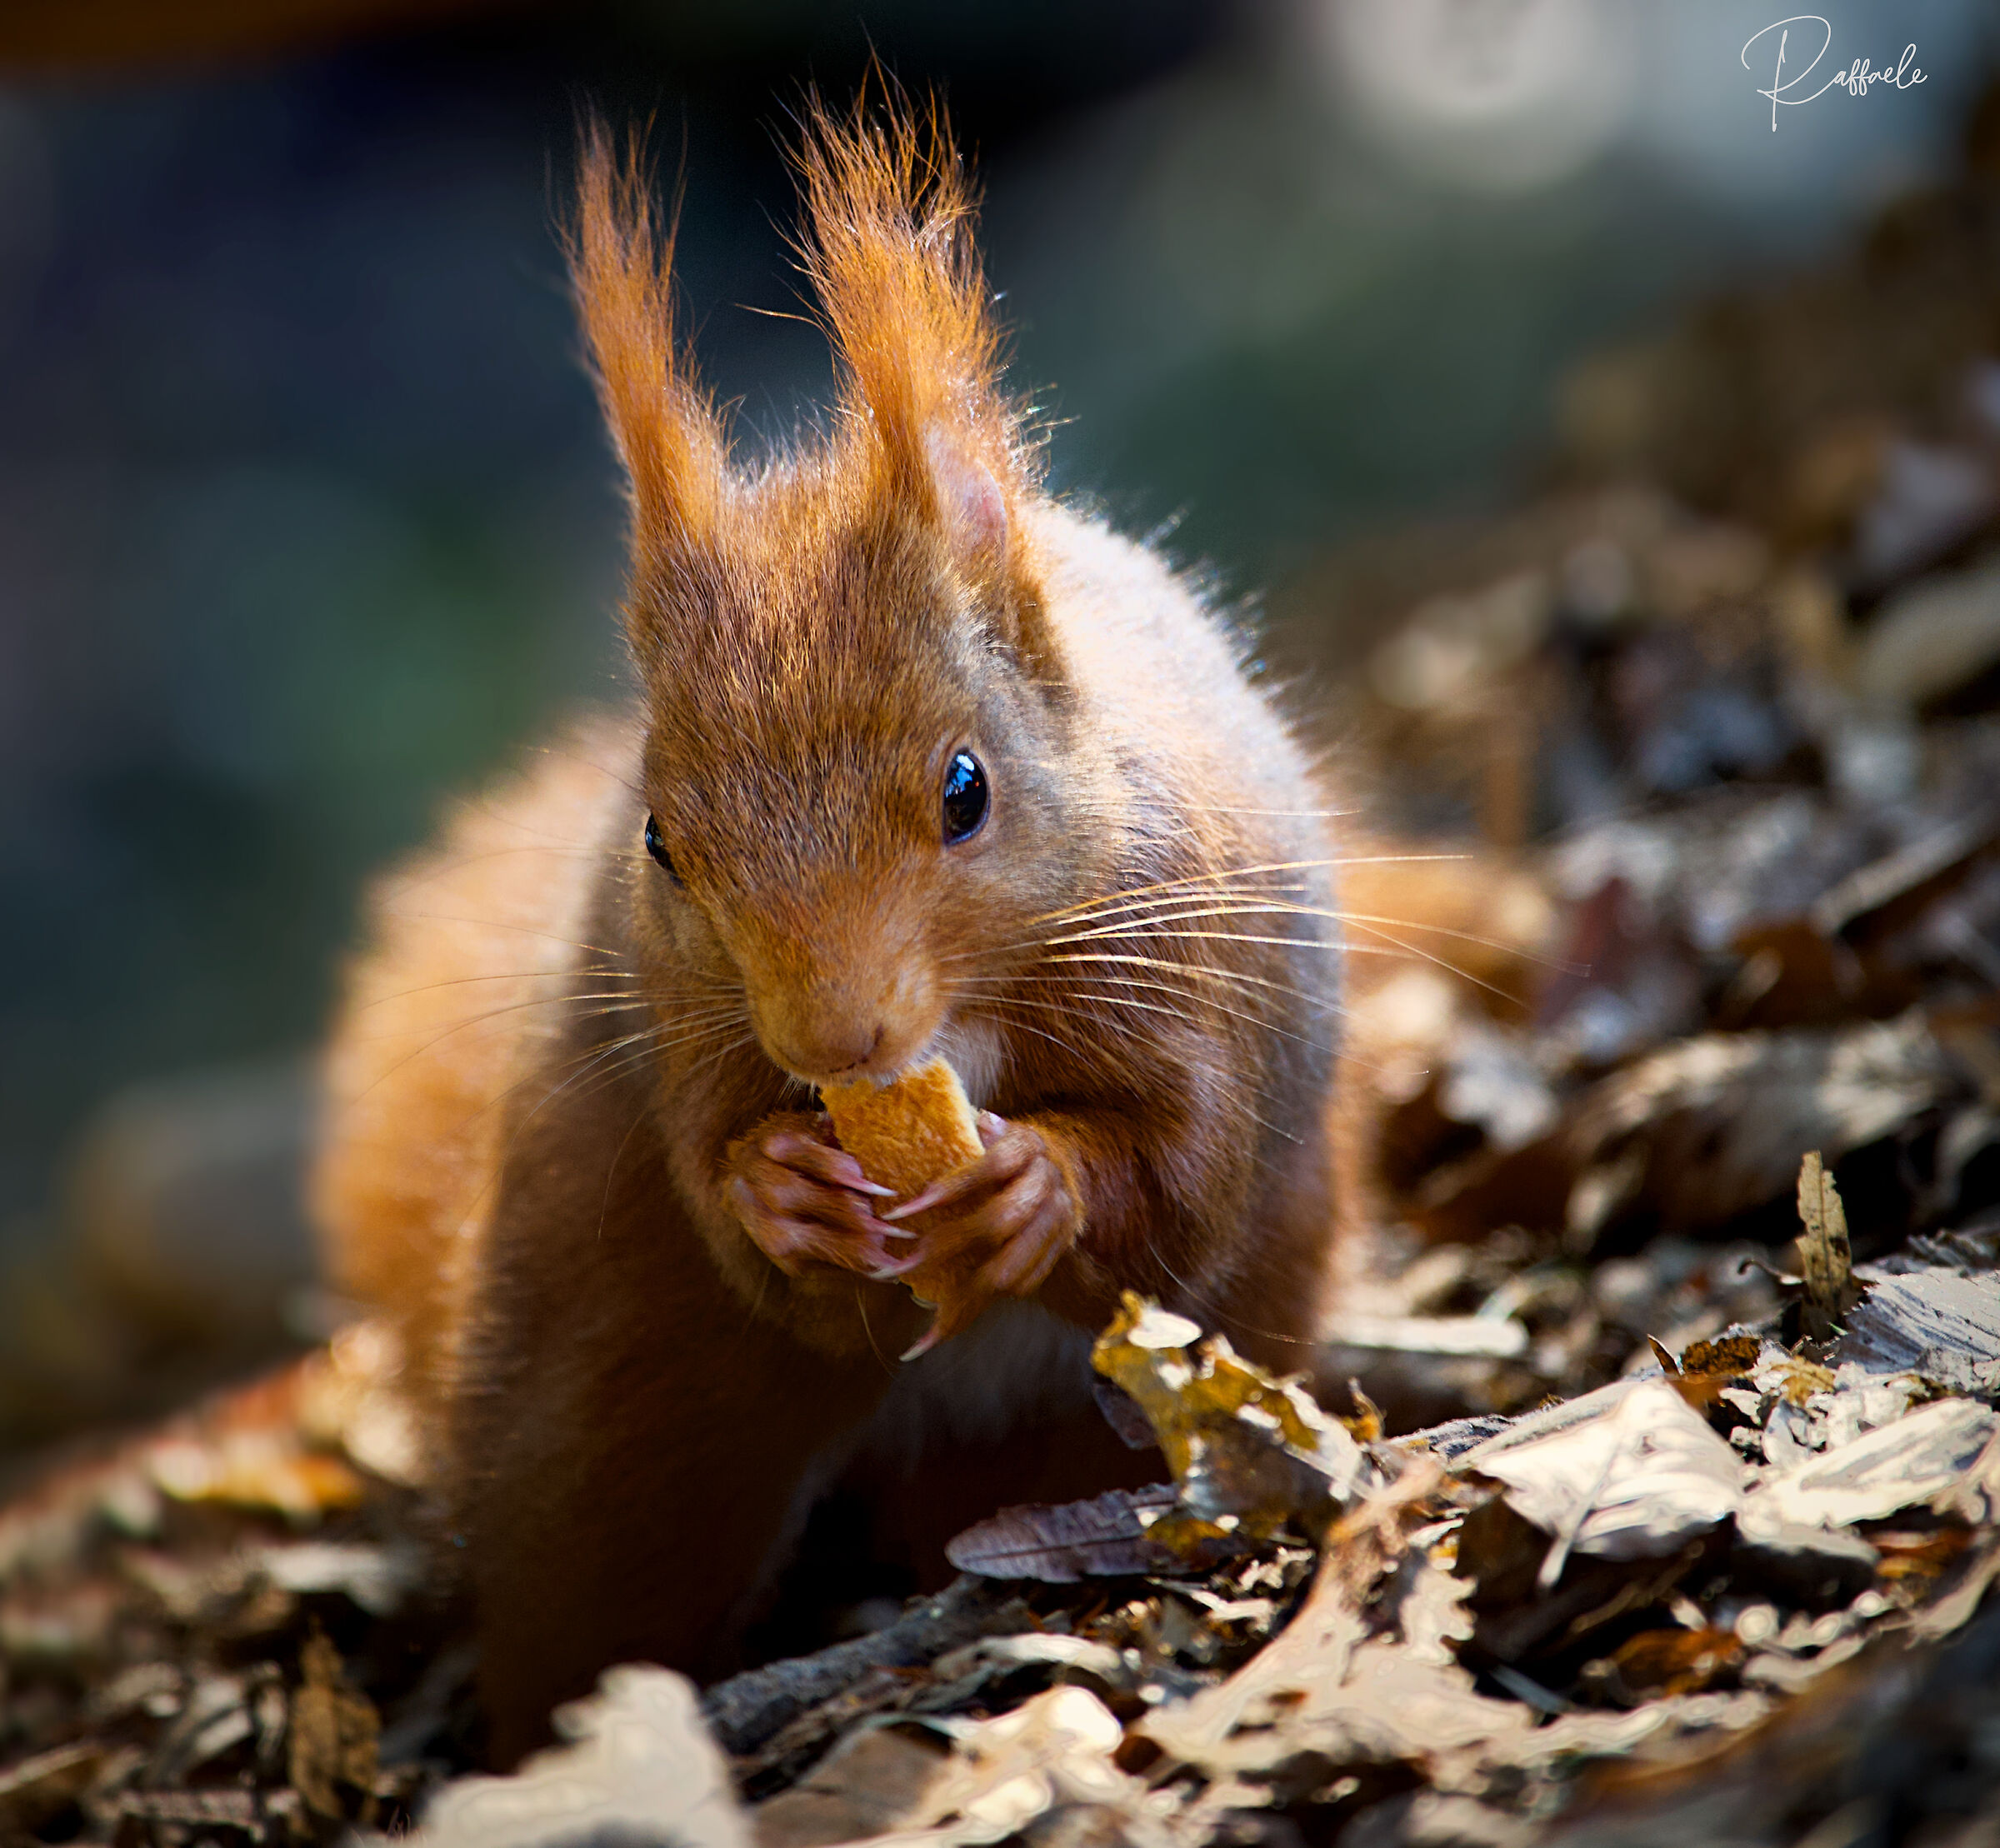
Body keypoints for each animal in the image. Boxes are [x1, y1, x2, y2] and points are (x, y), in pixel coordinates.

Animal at [311, 98, 1350, 1768]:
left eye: (967, 788)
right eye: (662, 844)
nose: (835, 1039)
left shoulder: (1200, 962)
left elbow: (1182, 1170)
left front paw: (1035, 1185)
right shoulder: (679, 1029)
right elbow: (741, 1211)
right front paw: (782, 1186)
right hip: (620, 1420)